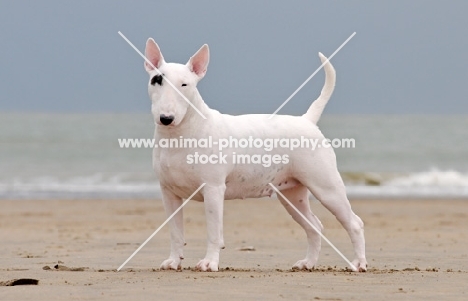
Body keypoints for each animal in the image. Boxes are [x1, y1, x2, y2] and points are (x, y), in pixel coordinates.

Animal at [144, 38, 368, 272]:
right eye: (156, 80)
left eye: (185, 85)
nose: (166, 118)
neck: (179, 135)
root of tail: (307, 120)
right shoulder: (169, 193)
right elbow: (175, 232)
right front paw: (173, 261)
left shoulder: (213, 189)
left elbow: (214, 232)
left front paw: (209, 262)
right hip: (292, 196)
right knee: (314, 226)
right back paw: (308, 263)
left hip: (327, 187)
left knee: (354, 223)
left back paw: (358, 263)